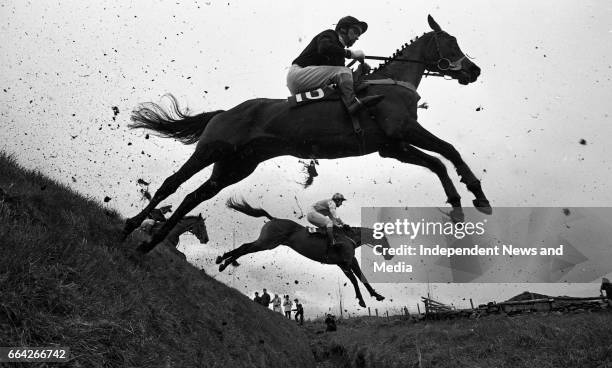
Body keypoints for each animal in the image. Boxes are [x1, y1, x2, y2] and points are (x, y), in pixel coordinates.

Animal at [124, 15, 492, 254]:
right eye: (450, 42)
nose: (474, 70)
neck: (391, 84)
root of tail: (225, 112)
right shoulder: (403, 130)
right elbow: (450, 151)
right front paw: (478, 195)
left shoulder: (394, 146)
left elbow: (438, 163)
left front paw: (459, 208)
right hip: (211, 149)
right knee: (172, 184)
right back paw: (131, 226)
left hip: (234, 167)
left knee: (193, 197)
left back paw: (151, 243)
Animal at [218, 198, 394, 308]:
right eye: (385, 239)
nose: (391, 255)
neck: (348, 237)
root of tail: (273, 218)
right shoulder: (347, 262)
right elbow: (358, 280)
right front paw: (365, 300)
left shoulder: (345, 263)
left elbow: (359, 279)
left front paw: (374, 296)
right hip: (267, 243)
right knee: (245, 248)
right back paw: (224, 262)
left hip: (267, 242)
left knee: (245, 246)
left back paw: (222, 260)